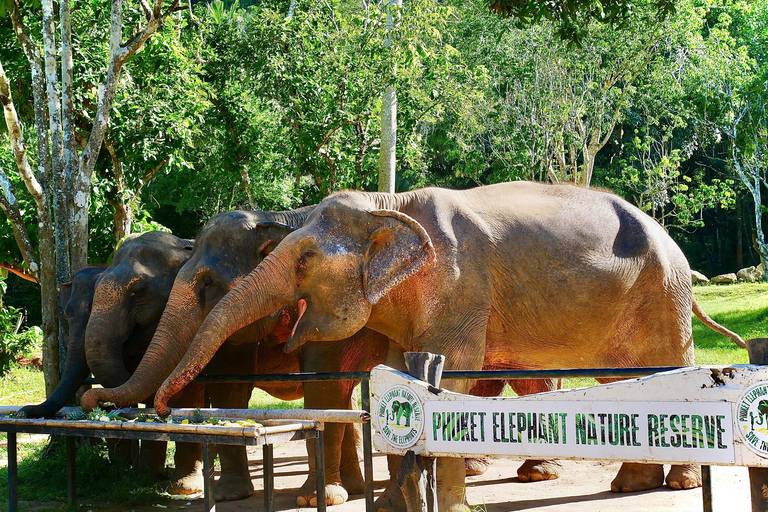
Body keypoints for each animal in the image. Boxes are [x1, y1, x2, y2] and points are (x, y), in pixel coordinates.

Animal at [82, 208, 390, 504]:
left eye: (138, 291)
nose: (90, 401)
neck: (272, 218)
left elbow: (321, 384)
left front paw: (314, 497)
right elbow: (223, 388)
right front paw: (211, 493)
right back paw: (354, 488)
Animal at [153, 183, 748, 512]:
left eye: (304, 261)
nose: (160, 407)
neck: (388, 204)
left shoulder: (460, 286)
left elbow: (451, 377)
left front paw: (448, 504)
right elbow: (397, 375)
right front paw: (391, 504)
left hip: (663, 297)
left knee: (663, 373)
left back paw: (668, 484)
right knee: (623, 382)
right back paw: (626, 484)